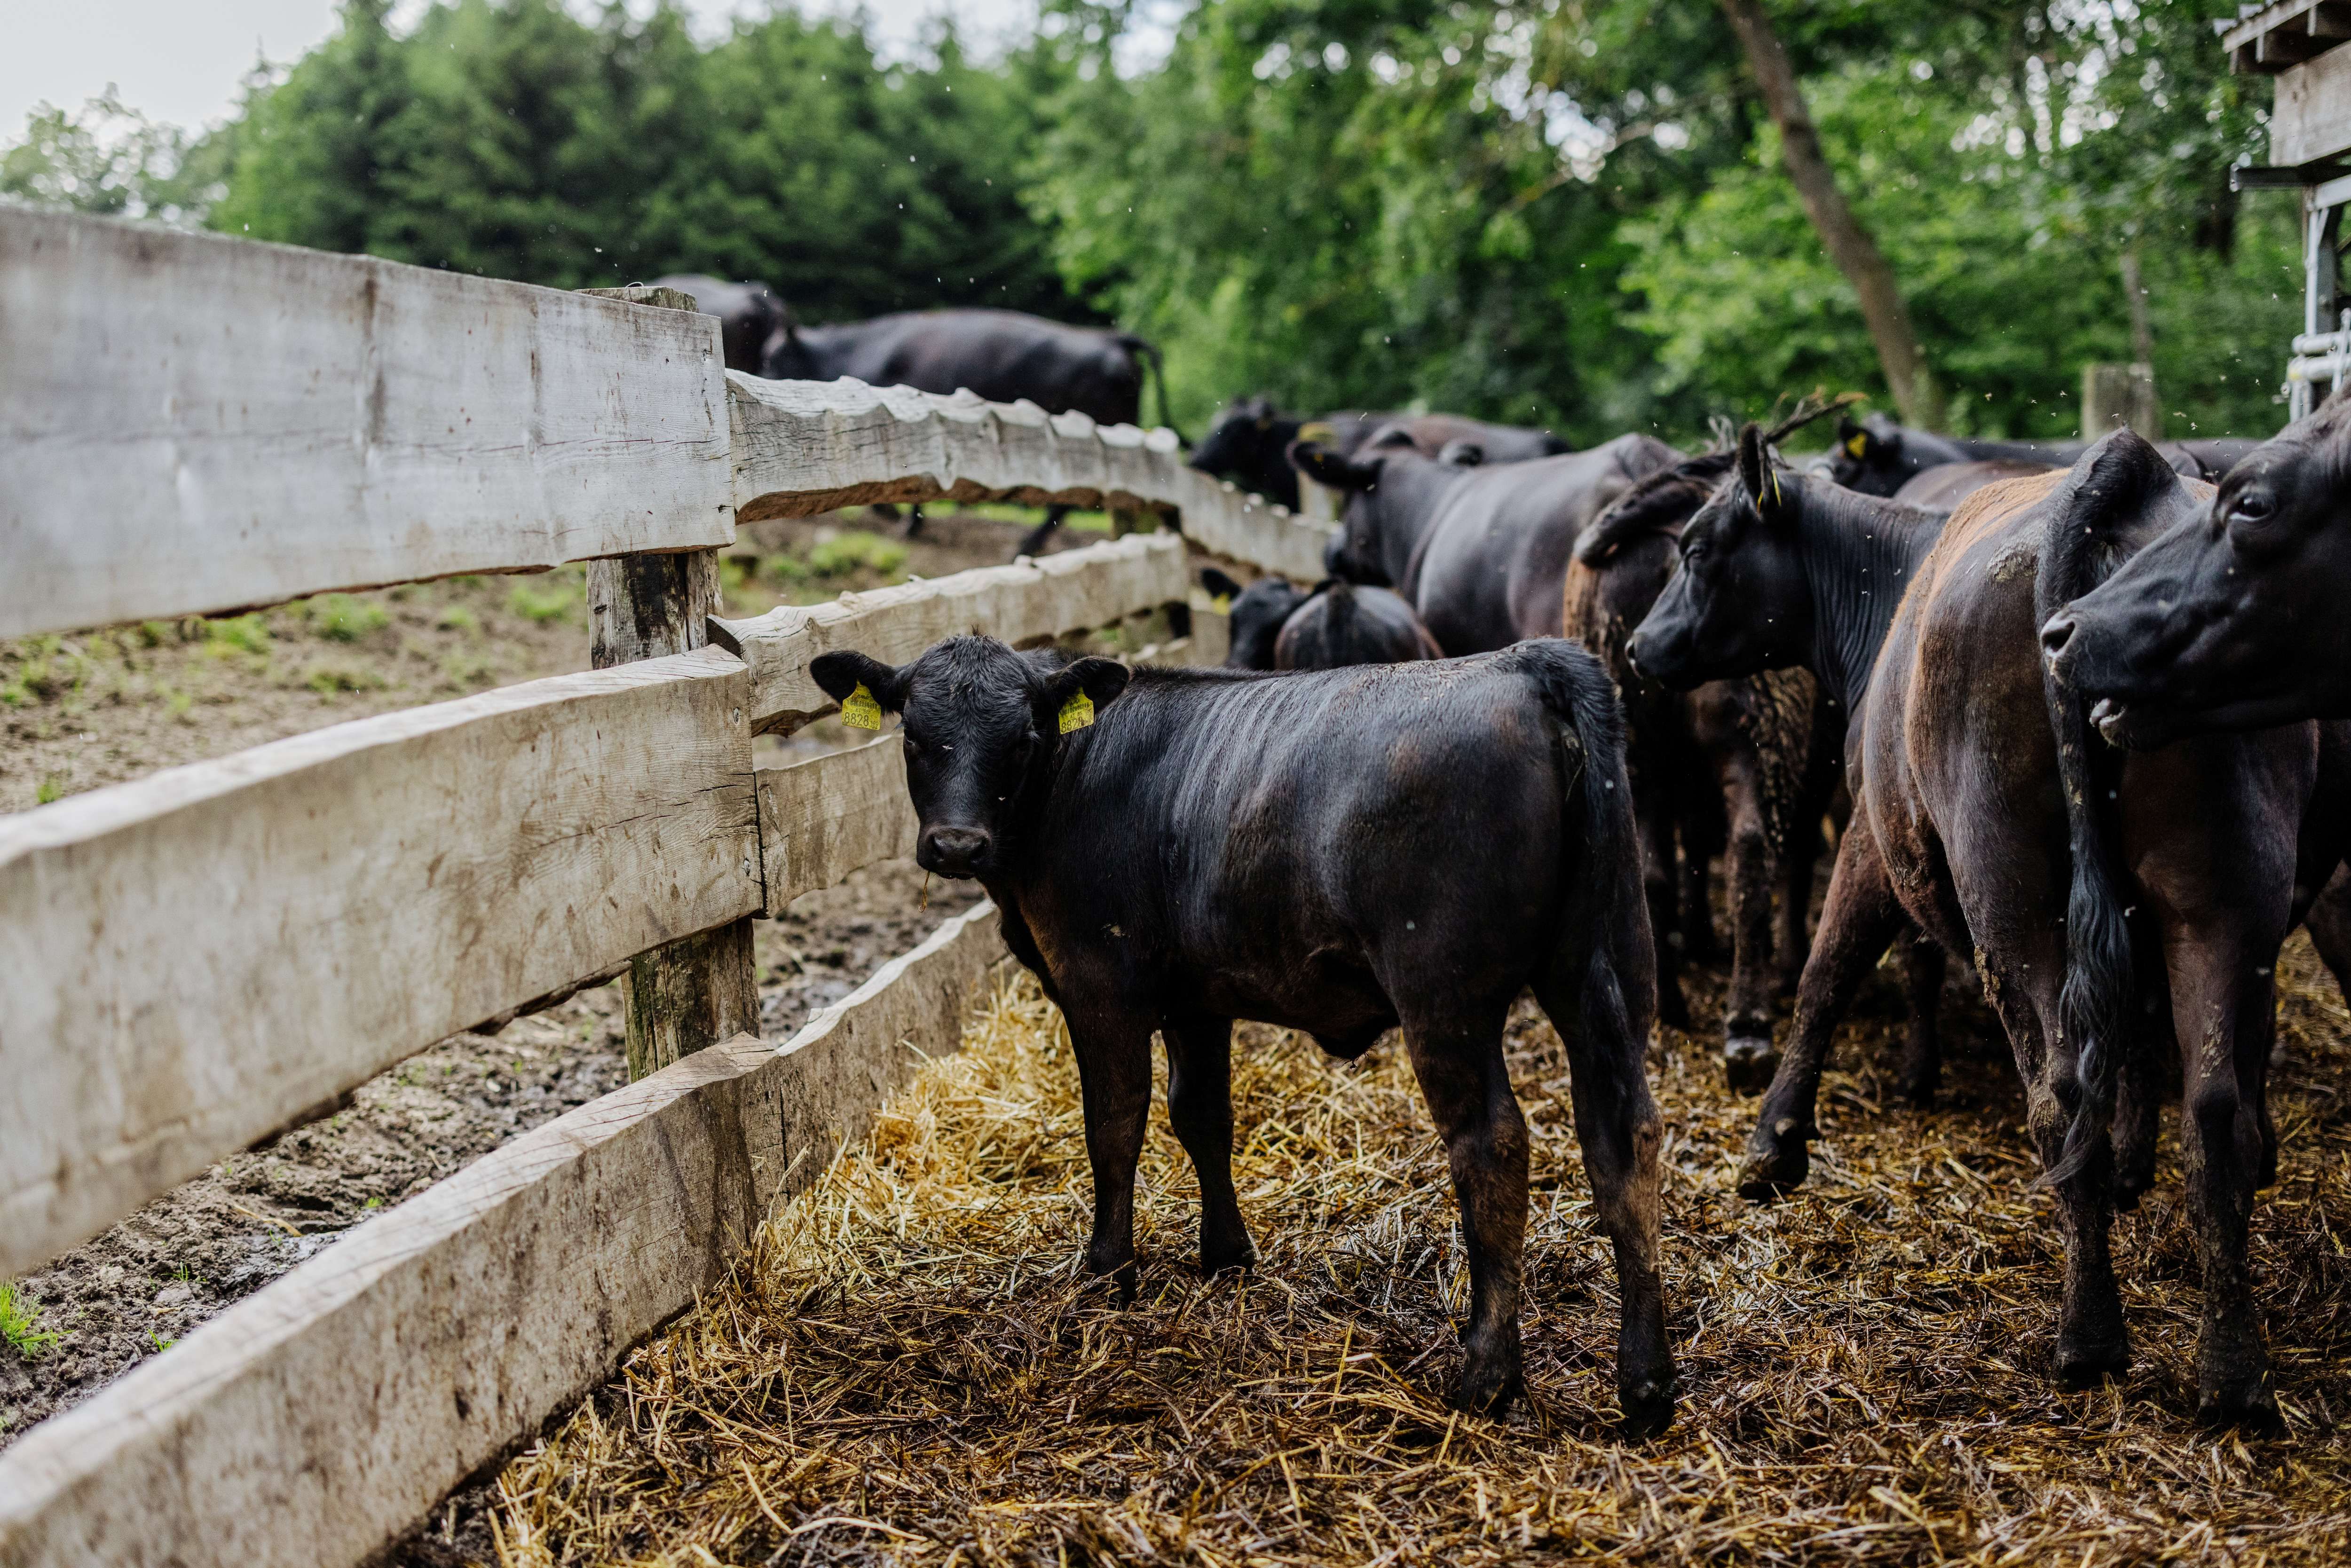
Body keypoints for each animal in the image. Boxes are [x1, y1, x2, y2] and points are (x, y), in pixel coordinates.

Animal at [804, 635, 1674, 1427]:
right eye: (914, 737)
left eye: (1021, 738)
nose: (957, 844)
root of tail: (1526, 660)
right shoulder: (1199, 997)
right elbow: (1203, 1117)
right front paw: (1225, 1255)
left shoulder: (1100, 984)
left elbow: (1113, 1126)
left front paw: (1107, 1274)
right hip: (1605, 971)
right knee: (1622, 1135)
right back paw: (1646, 1385)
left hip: (1445, 996)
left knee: (1492, 1145)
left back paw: (1486, 1375)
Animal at [1629, 425, 2348, 1427]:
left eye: (1697, 550)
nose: (1638, 645)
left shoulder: (1872, 835)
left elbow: (1827, 973)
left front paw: (1773, 1143)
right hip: (2224, 897)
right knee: (2215, 1114)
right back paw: (2232, 1369)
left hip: (2009, 893)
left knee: (2058, 1093)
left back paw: (2089, 1337)